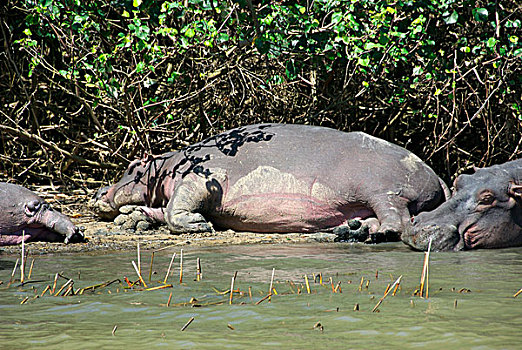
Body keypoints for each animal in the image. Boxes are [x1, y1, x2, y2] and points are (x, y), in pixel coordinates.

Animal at [91, 123, 448, 243]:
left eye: (131, 165)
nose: (98, 191)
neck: (165, 166)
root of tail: (437, 174)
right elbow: (159, 209)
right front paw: (130, 220)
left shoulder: (202, 178)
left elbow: (176, 206)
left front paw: (200, 226)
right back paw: (349, 230)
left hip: (382, 189)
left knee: (398, 219)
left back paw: (374, 235)